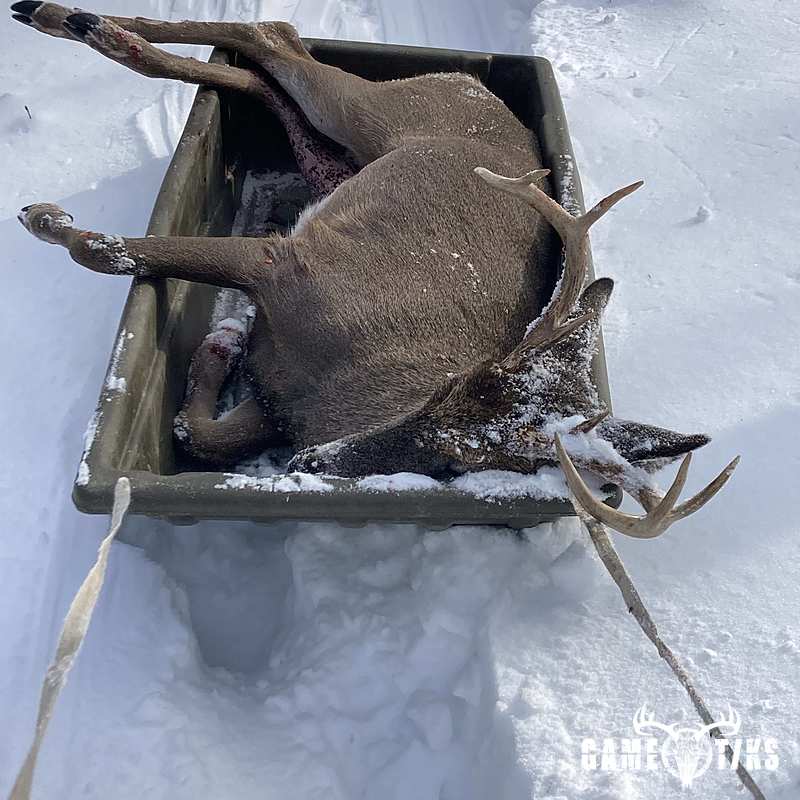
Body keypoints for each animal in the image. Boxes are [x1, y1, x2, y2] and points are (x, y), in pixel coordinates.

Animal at [11, 2, 740, 541]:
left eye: (456, 464)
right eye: (451, 392)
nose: (313, 462)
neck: (335, 395)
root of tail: (474, 82)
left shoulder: (275, 397)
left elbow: (202, 434)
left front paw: (220, 343)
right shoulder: (286, 263)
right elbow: (111, 252)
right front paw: (45, 218)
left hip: (338, 155)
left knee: (264, 73)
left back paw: (94, 30)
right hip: (372, 114)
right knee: (271, 34)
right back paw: (66, 18)